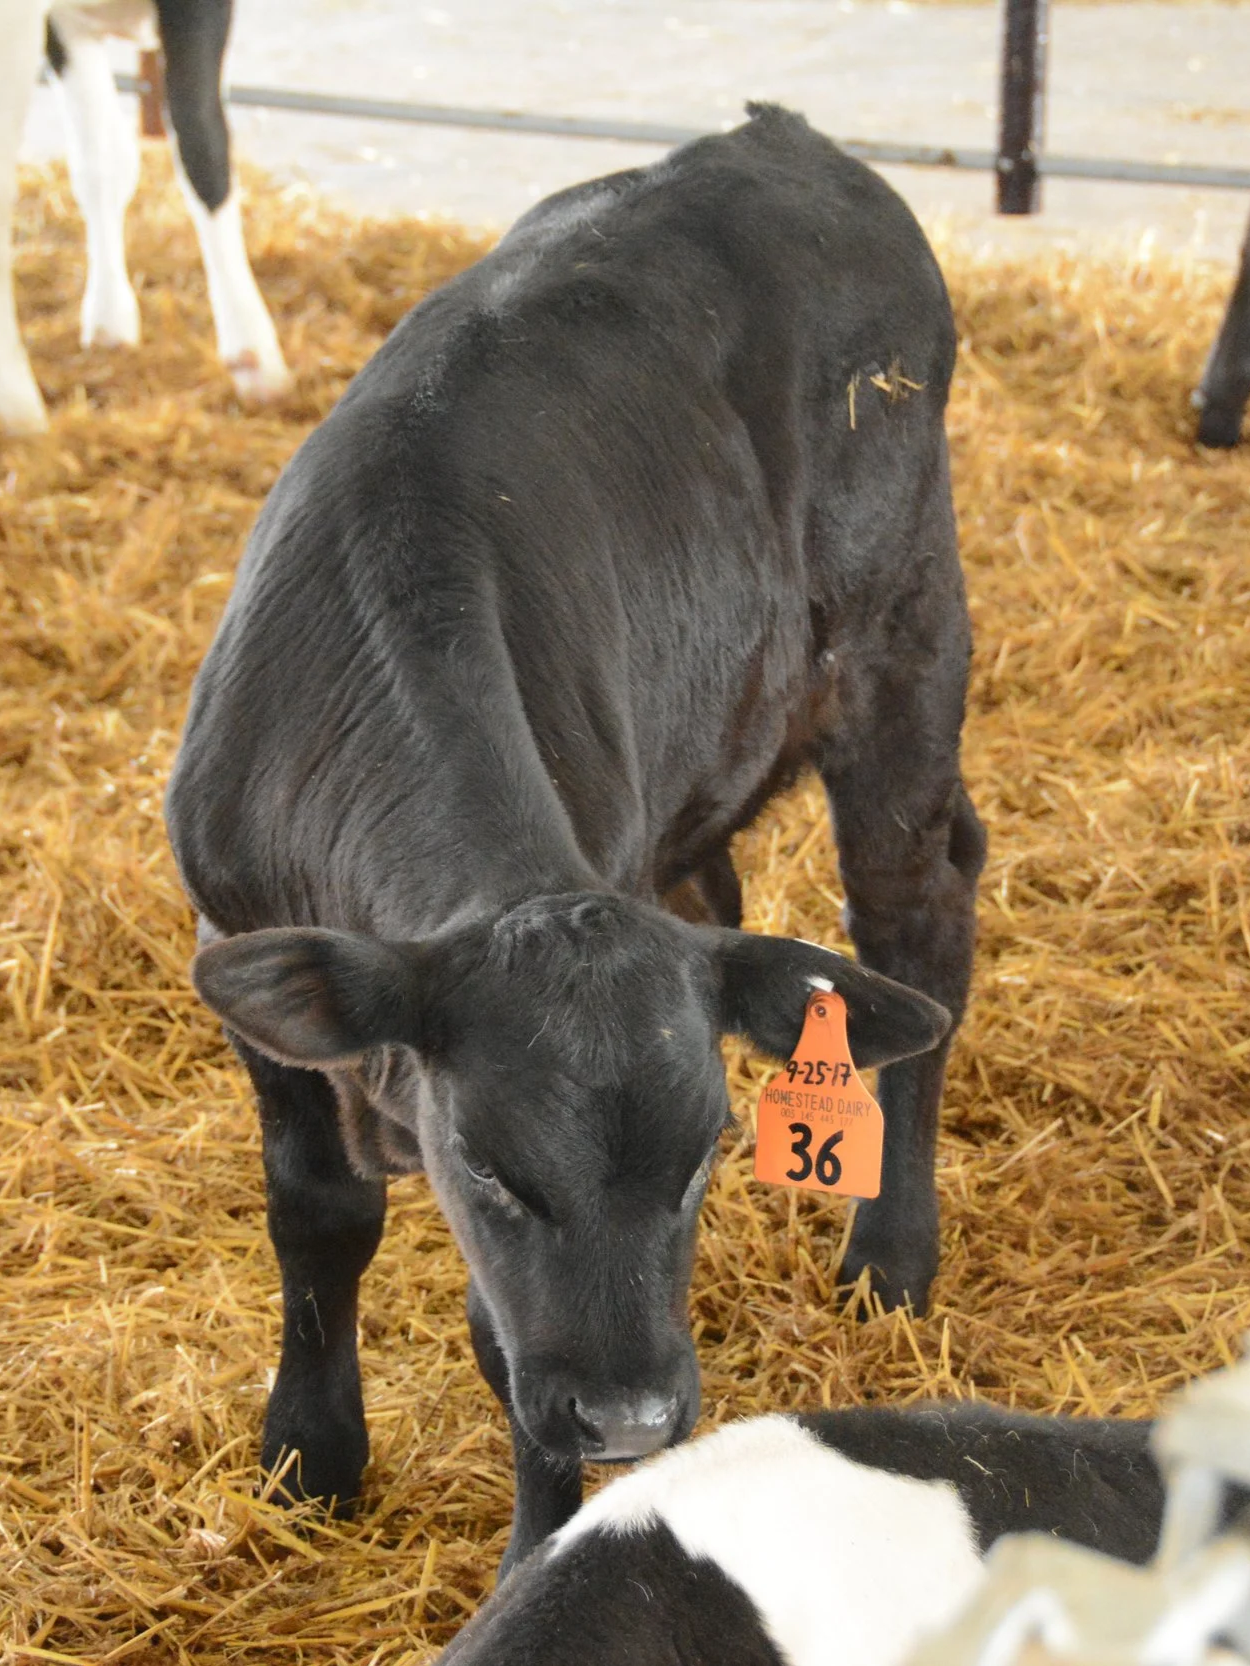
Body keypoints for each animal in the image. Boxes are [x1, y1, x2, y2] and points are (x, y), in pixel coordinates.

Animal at [166, 103, 985, 1569]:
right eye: (491, 1167)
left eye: (706, 1150)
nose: (630, 1413)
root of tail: (782, 140)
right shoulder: (240, 943)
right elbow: (317, 1213)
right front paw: (309, 1453)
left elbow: (501, 1340)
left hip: (902, 639)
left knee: (916, 923)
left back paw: (890, 1254)